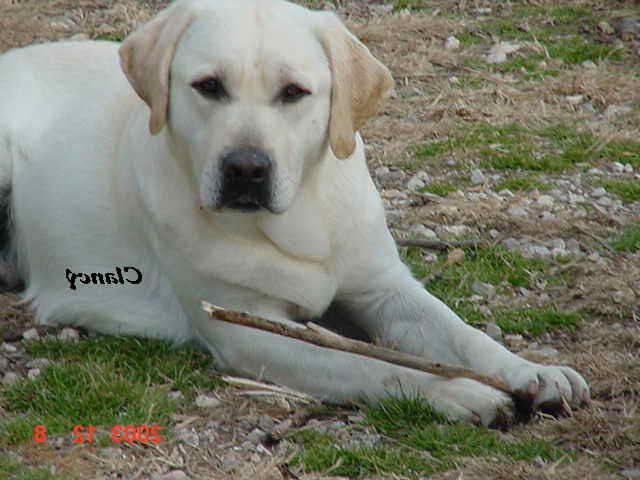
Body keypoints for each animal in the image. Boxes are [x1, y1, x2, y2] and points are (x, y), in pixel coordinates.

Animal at [0, 0, 592, 426]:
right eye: (208, 86)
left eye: (294, 92)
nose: (245, 168)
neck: (296, 221)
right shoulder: (248, 328)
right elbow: (365, 362)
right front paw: (456, 390)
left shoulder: (384, 287)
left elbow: (463, 333)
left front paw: (533, 370)